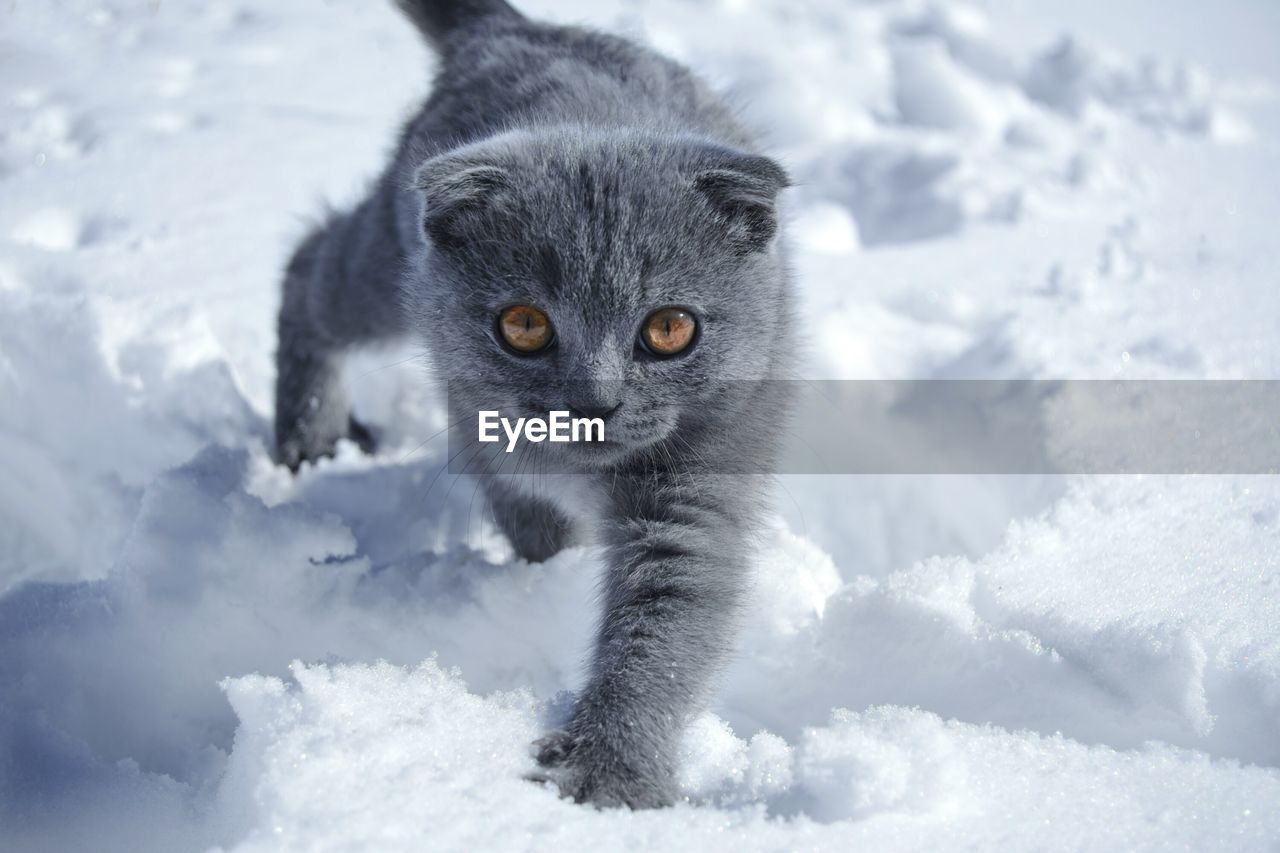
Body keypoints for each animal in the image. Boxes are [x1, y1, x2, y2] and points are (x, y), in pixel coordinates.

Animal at [276, 0, 793, 804]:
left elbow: (669, 624)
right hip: (391, 261)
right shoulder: (476, 422)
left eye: (670, 328)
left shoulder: (701, 482)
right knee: (310, 268)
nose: (596, 401)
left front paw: (608, 768)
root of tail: (519, 28)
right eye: (524, 325)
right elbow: (527, 517)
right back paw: (309, 432)